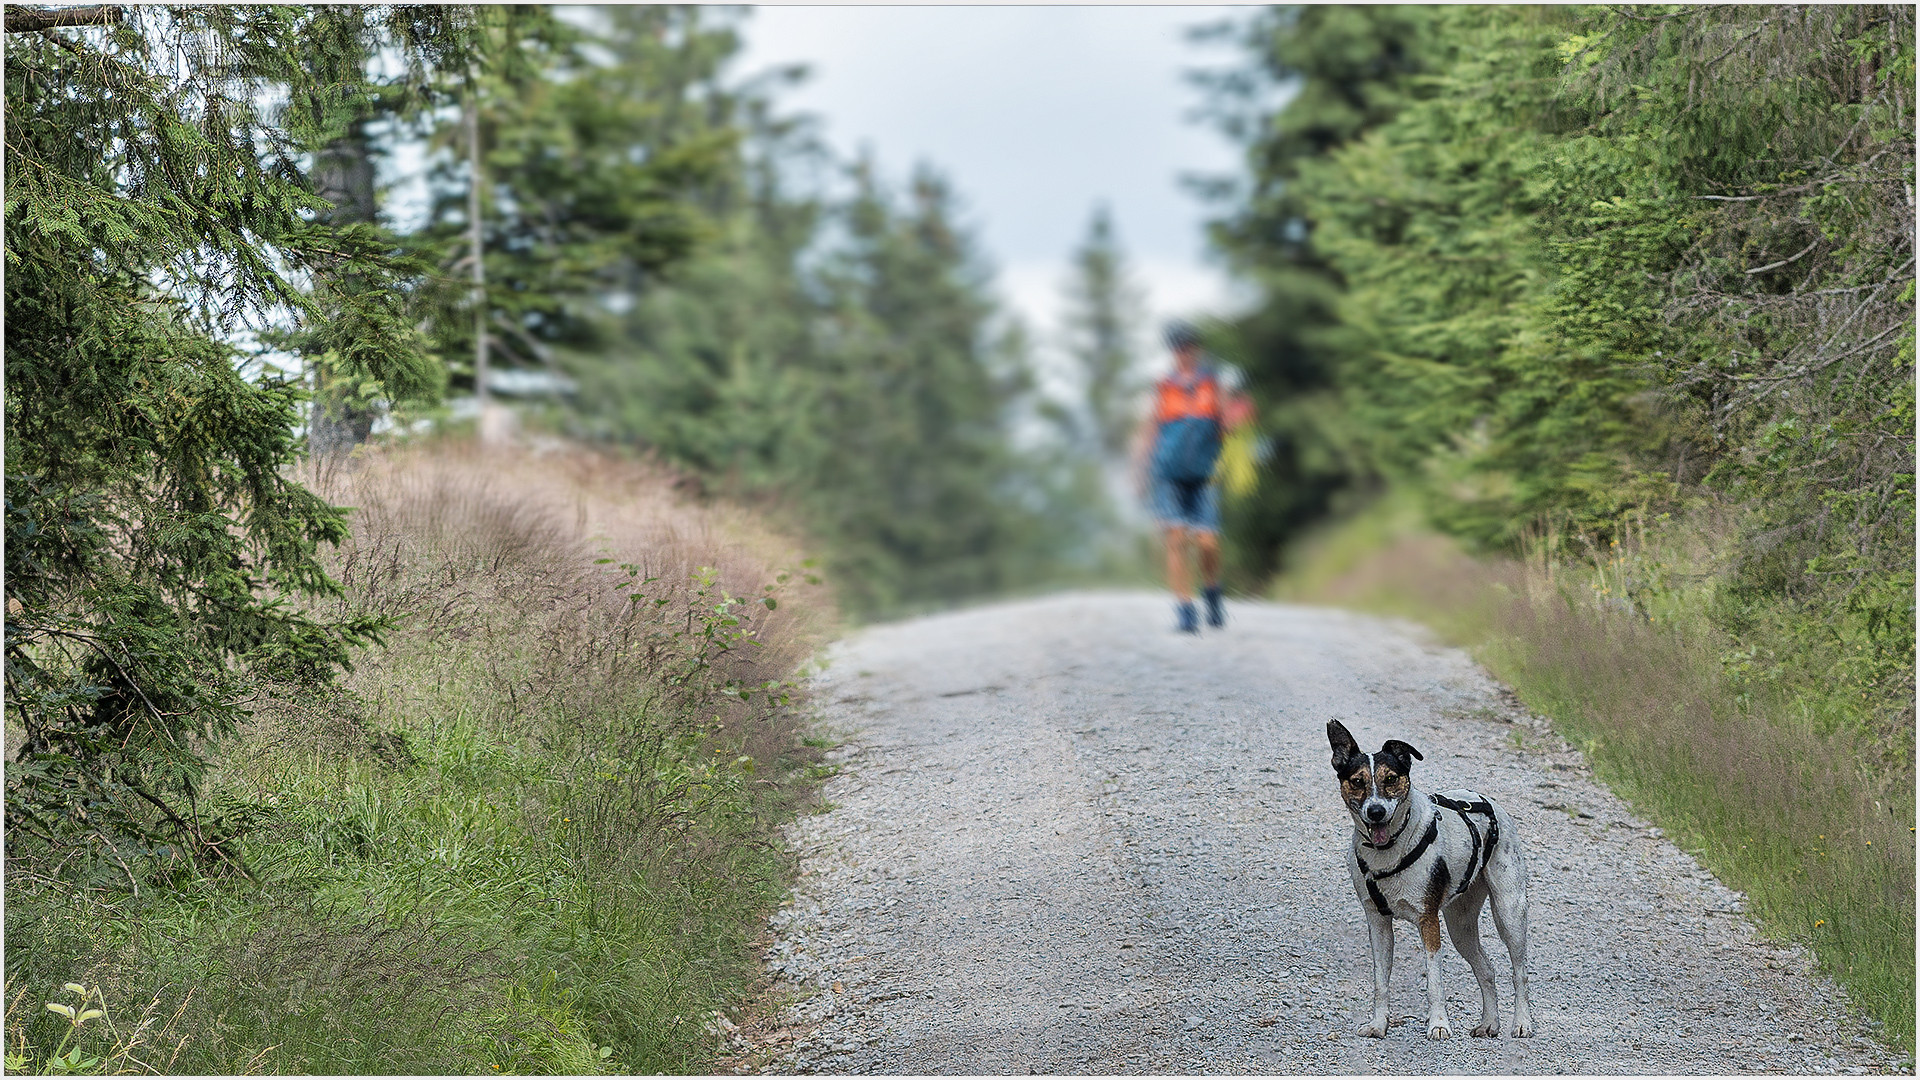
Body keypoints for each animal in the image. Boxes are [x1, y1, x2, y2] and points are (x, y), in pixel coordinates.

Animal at [1328, 718, 1536, 1037]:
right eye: (1358, 781)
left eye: (1391, 778)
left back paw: (1522, 1022)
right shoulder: (1378, 923)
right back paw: (1489, 1022)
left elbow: (1434, 980)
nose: (1375, 811)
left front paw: (1438, 1024)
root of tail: (1487, 802)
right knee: (1486, 968)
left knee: (1519, 972)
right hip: (1460, 925)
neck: (1389, 850)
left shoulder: (1428, 921)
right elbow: (1380, 982)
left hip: (1509, 911)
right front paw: (1378, 1024)